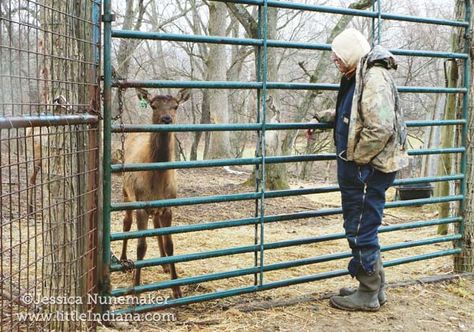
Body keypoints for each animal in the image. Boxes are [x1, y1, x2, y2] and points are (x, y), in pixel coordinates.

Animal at [119, 87, 190, 298]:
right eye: (153, 105)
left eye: (175, 105)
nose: (166, 118)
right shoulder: (141, 204)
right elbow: (141, 247)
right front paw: (135, 290)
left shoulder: (168, 206)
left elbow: (170, 245)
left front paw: (177, 289)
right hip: (125, 192)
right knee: (126, 223)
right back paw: (123, 259)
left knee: (156, 225)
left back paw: (164, 264)